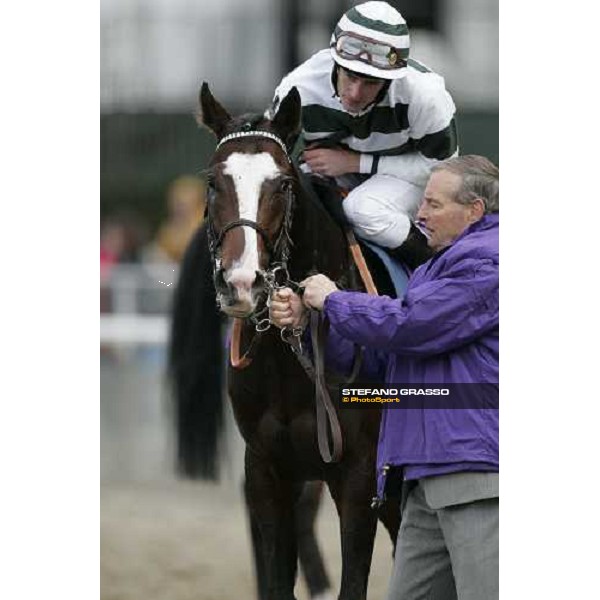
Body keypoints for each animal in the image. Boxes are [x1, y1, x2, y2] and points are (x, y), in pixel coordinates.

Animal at [166, 83, 400, 600]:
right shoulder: (268, 470)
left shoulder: (359, 476)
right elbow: (275, 578)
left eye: (284, 184)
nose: (241, 282)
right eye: (213, 182)